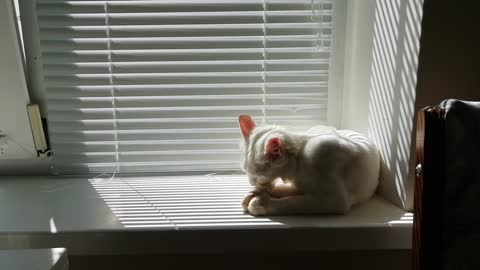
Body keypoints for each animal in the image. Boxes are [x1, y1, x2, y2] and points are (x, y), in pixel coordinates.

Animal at [238, 115, 380, 216]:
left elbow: (292, 202)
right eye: (246, 172)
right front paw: (256, 193)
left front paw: (262, 202)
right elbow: (285, 191)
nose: (251, 182)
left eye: (258, 177)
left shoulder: (334, 200)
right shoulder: (300, 186)